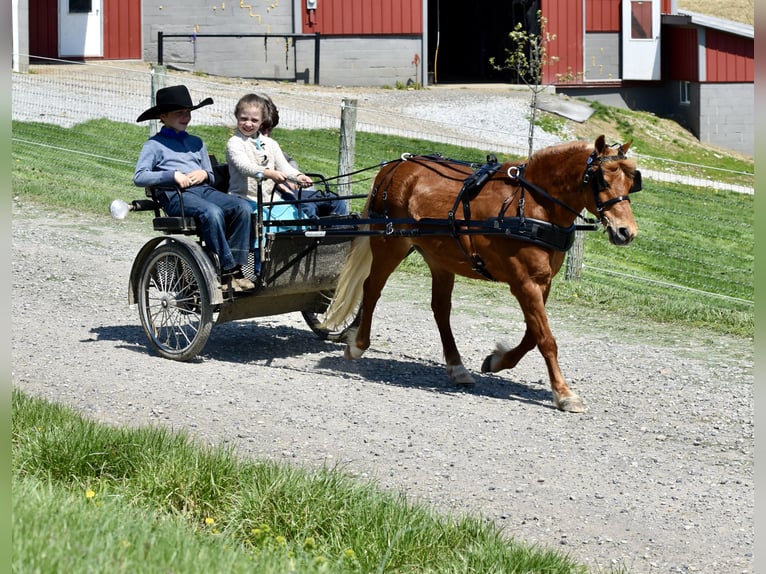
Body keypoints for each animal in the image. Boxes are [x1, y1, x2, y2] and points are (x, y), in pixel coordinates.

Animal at [321, 135, 640, 413]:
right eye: (602, 179)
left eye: (630, 181)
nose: (626, 232)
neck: (532, 204)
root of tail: (394, 167)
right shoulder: (523, 282)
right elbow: (546, 339)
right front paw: (564, 394)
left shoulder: (542, 283)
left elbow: (532, 335)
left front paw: (497, 361)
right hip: (390, 244)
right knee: (372, 289)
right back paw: (357, 346)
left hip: (439, 257)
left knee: (440, 309)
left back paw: (457, 367)